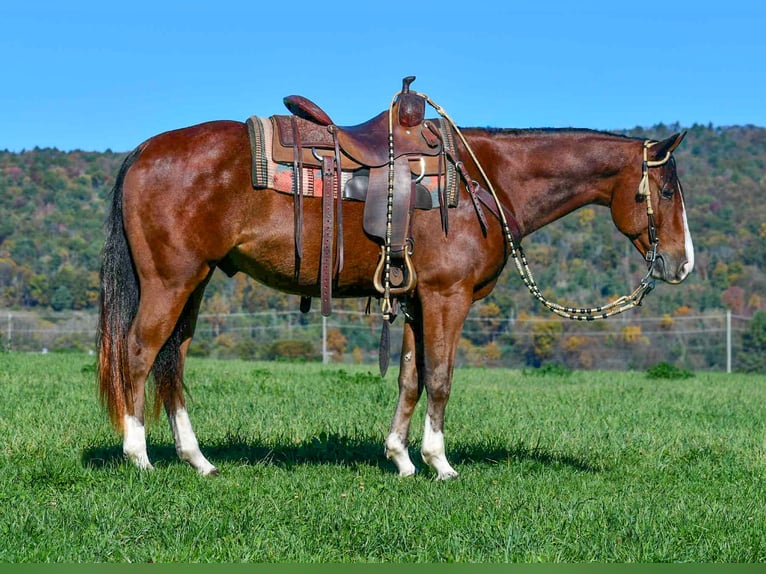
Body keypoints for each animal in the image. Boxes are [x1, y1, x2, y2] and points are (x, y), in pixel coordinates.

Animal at [97, 113, 693, 479]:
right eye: (666, 191)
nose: (681, 263)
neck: (486, 180)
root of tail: (145, 150)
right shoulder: (448, 297)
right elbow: (441, 377)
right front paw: (439, 462)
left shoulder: (414, 301)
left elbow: (411, 377)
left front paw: (401, 459)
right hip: (170, 282)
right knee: (139, 353)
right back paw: (139, 456)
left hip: (194, 284)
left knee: (172, 360)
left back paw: (197, 460)